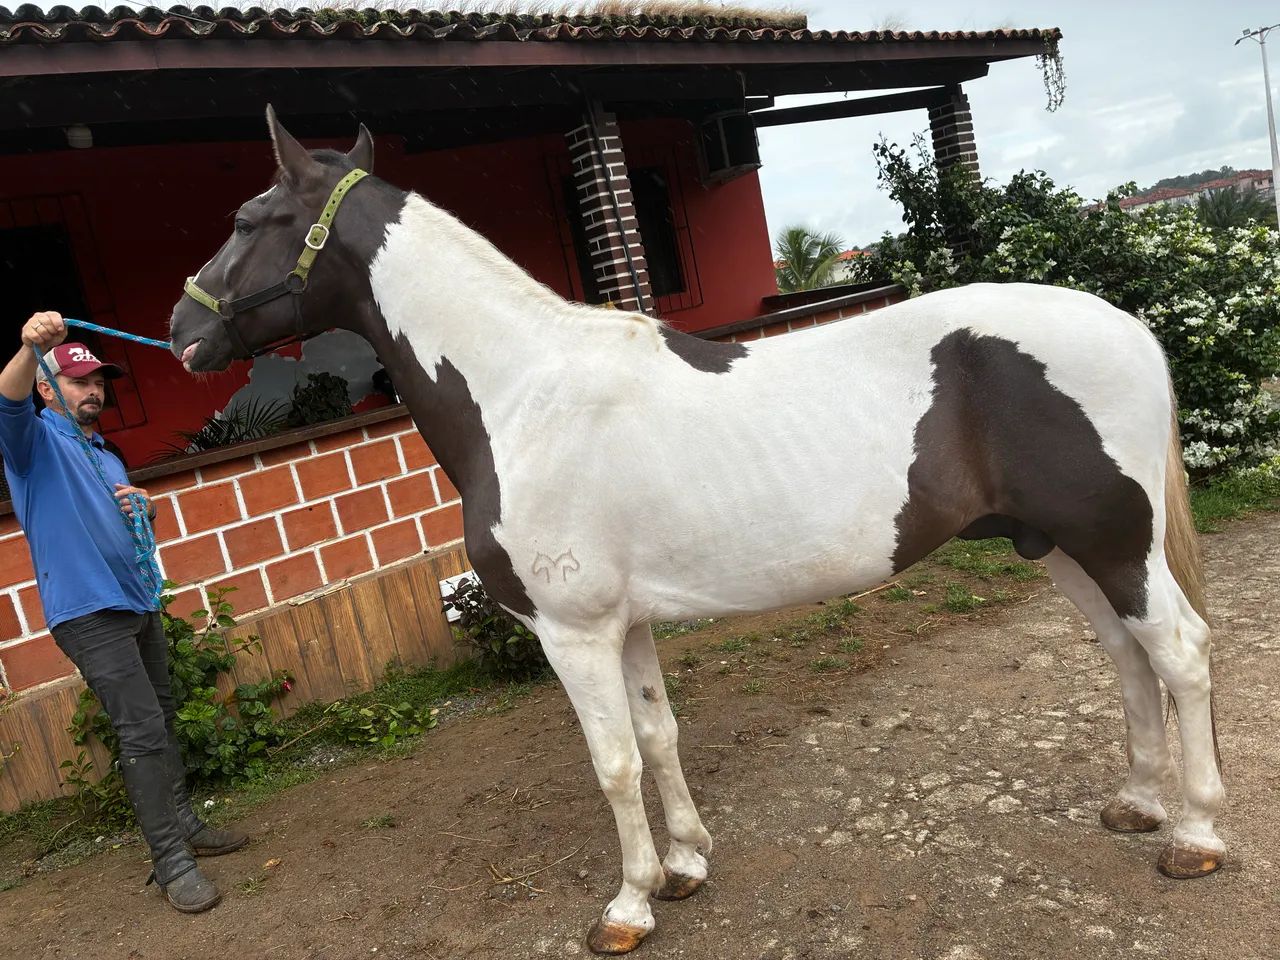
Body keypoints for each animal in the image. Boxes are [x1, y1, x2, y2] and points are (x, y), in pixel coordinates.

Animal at [169, 109, 1225, 953]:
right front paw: (684, 865)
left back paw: (1196, 836)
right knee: (1127, 658)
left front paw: (629, 905)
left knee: (1178, 653)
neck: (523, 393)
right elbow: (658, 734)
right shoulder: (624, 623)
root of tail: (1127, 325)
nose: (182, 331)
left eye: (248, 221)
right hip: (1062, 547)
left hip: (1115, 545)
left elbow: (613, 762)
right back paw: (1138, 804)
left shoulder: (573, 632)